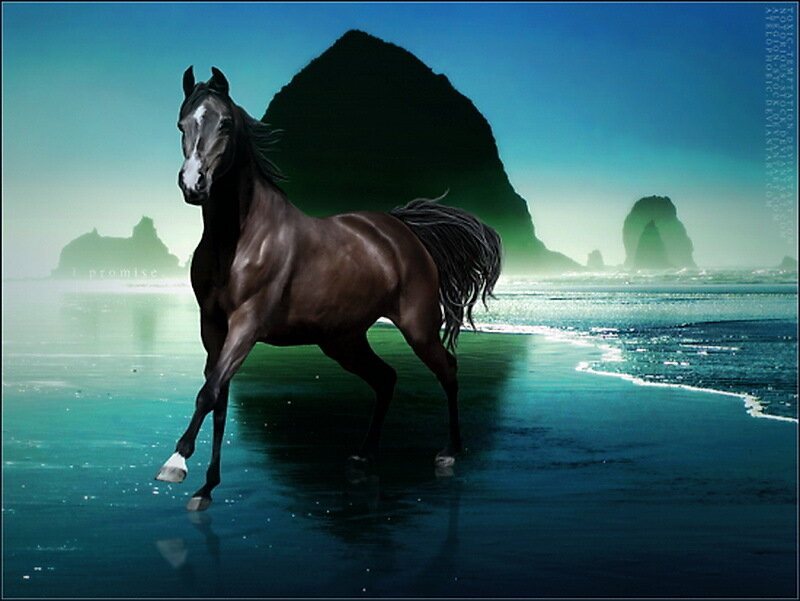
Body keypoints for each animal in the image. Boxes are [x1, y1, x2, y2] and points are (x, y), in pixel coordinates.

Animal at [155, 66, 502, 511]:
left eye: (226, 123)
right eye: (182, 124)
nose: (193, 184)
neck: (238, 239)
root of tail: (402, 229)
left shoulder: (247, 324)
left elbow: (209, 393)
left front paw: (176, 463)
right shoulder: (212, 328)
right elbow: (218, 397)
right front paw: (206, 488)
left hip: (418, 327)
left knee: (448, 369)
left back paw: (450, 452)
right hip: (343, 340)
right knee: (386, 378)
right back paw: (364, 455)